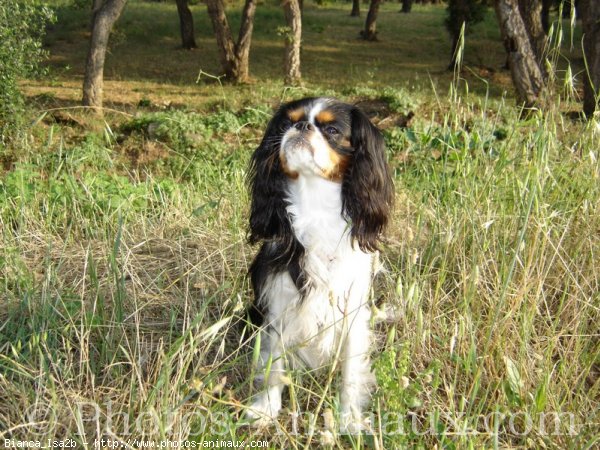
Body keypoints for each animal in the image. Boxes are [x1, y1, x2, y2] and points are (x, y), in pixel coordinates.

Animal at [245, 97, 394, 428]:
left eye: (332, 130)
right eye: (288, 123)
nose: (301, 126)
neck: (314, 203)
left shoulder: (351, 311)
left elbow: (350, 373)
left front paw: (349, 420)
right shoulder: (279, 307)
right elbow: (274, 367)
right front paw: (267, 408)